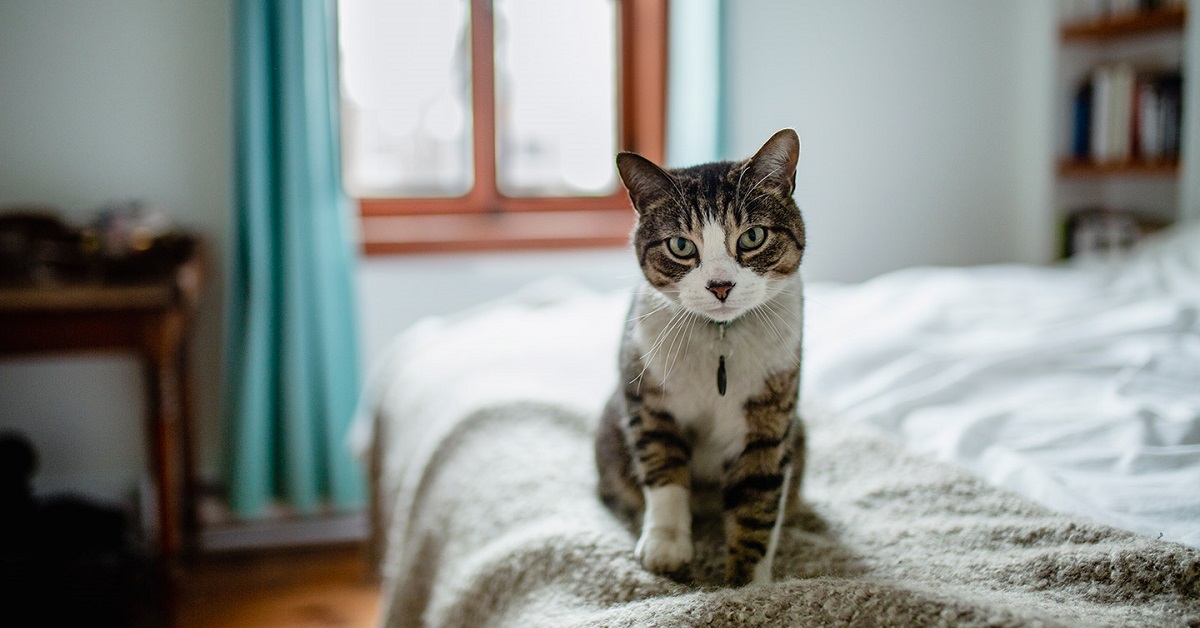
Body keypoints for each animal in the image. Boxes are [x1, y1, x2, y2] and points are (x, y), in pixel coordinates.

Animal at [592, 129, 806, 590]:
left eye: (752, 237)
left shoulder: (771, 413)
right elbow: (663, 467)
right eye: (680, 245)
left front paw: (747, 587)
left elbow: (758, 502)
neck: (718, 339)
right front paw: (666, 546)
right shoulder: (646, 394)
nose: (720, 286)